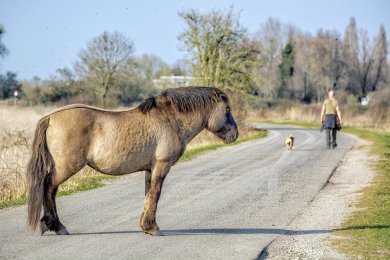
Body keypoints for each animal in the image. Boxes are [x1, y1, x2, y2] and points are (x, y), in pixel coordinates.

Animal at [26, 87, 238, 236]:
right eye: (227, 109)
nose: (235, 135)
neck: (169, 119)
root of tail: (50, 117)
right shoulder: (162, 166)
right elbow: (155, 194)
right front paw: (153, 227)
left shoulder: (150, 169)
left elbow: (148, 194)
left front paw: (146, 226)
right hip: (66, 168)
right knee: (49, 188)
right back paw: (56, 226)